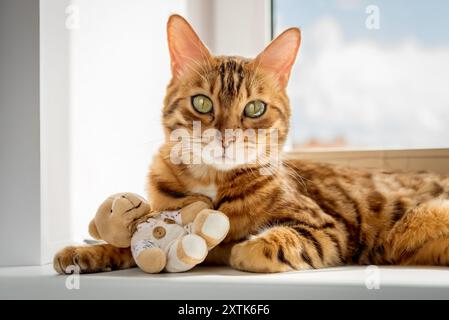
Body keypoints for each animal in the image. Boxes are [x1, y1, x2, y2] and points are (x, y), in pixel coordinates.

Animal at [53, 15, 448, 274]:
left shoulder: (328, 228)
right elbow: (129, 243)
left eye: (254, 108)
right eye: (202, 103)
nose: (226, 135)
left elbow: (287, 240)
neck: (212, 182)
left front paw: (249, 248)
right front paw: (86, 252)